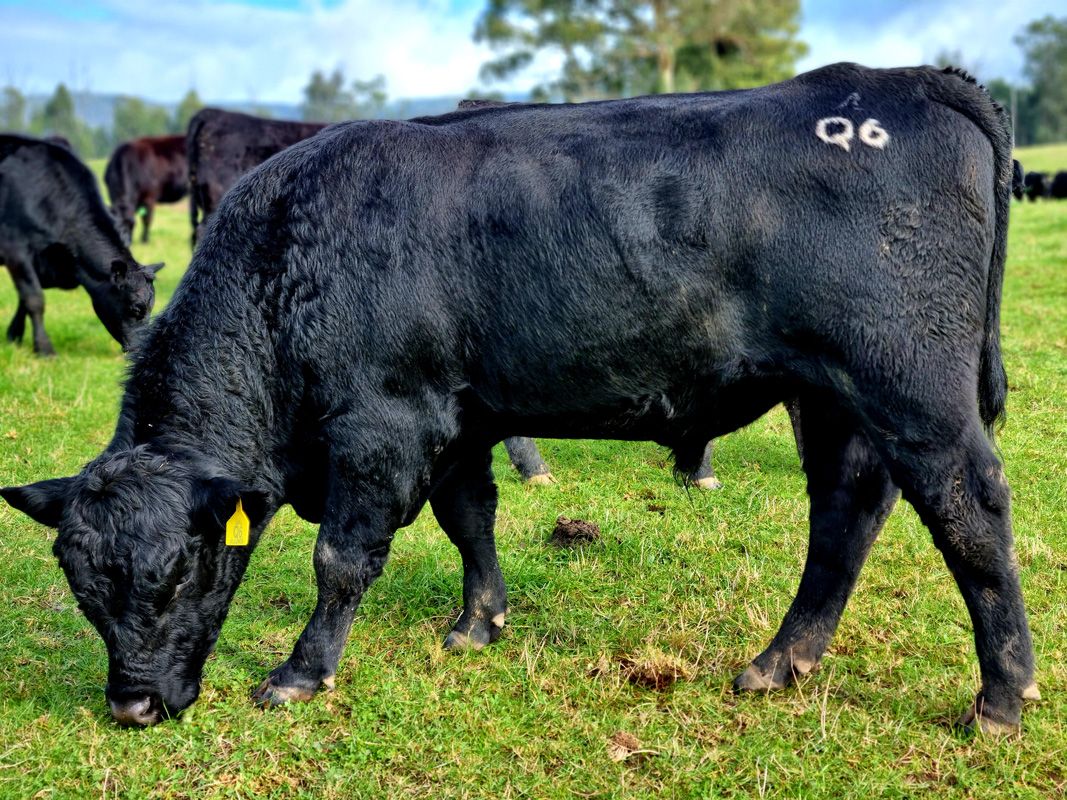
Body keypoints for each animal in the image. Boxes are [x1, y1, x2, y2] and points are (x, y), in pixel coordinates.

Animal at [0, 134, 162, 355]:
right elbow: (34, 299)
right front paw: (44, 348)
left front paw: (14, 335)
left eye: (152, 307)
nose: (143, 350)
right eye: (136, 308)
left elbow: (23, 300)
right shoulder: (15, 251)